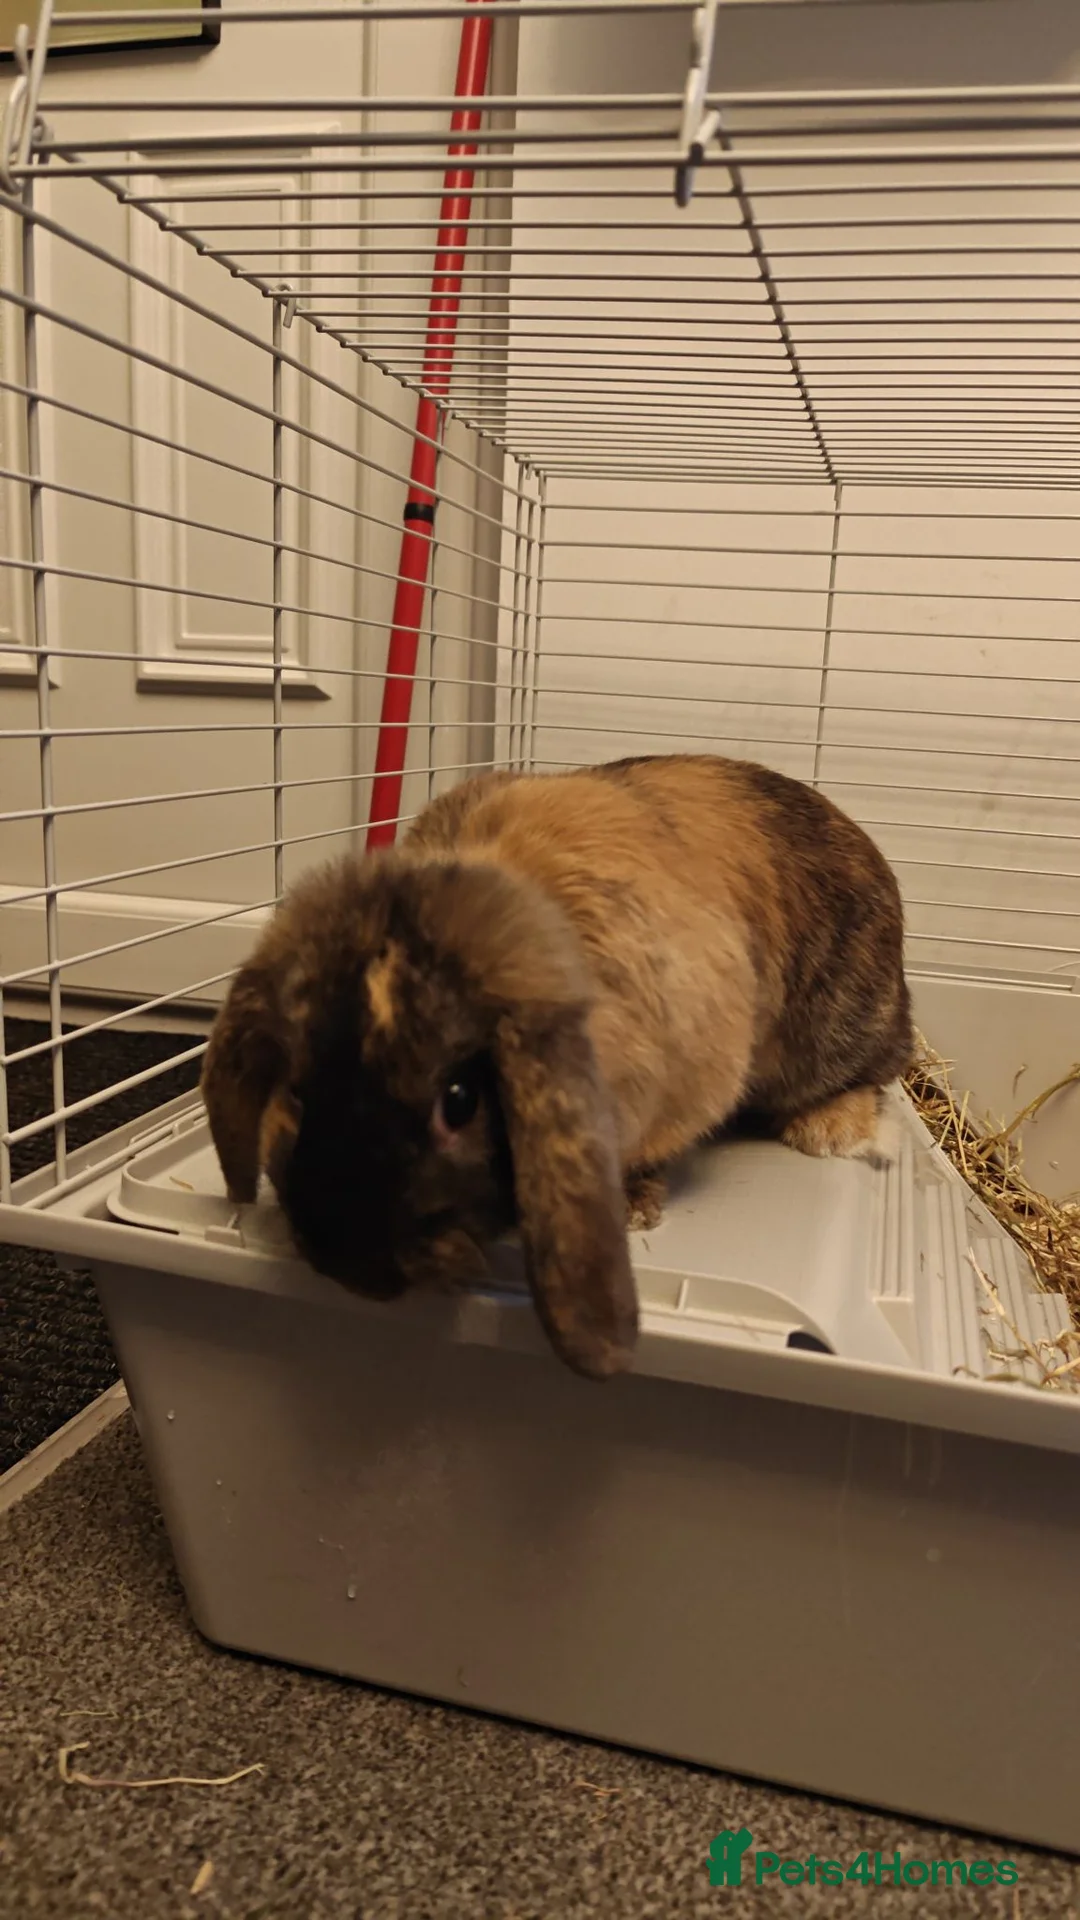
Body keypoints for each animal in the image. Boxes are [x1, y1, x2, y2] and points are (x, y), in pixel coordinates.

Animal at [201, 753, 913, 1382]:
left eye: (459, 1102)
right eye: (297, 1089)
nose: (346, 1267)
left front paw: (632, 1207)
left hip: (839, 1023)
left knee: (880, 1068)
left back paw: (829, 1130)